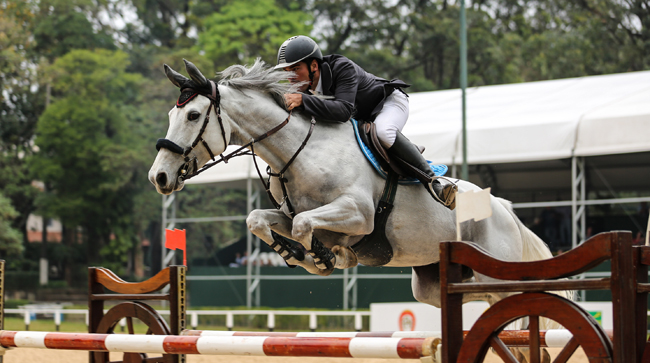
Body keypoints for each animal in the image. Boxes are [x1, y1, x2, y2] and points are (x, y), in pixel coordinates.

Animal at [149, 59, 556, 310]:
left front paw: (327, 257)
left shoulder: (358, 215)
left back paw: (444, 189)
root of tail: (506, 210)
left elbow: (305, 227)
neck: (299, 153)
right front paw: (296, 254)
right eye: (172, 113)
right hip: (433, 285)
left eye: (193, 115)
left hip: (494, 268)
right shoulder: (293, 214)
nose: (159, 177)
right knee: (473, 299)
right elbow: (260, 220)